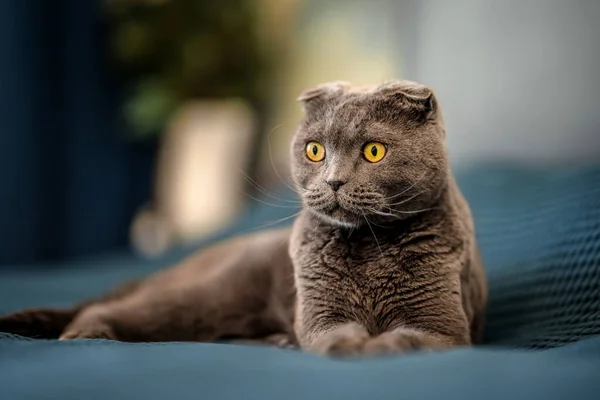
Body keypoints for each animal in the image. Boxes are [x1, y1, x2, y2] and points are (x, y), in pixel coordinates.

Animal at [0, 79, 488, 354]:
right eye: (315, 150)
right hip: (211, 293)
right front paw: (350, 346)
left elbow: (411, 337)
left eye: (373, 151)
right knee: (106, 307)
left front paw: (376, 348)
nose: (333, 181)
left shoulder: (443, 326)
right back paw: (84, 335)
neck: (368, 246)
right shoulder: (320, 313)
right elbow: (332, 332)